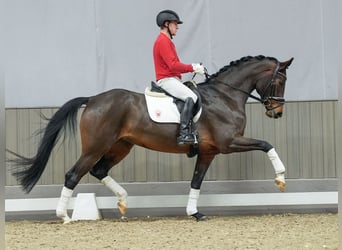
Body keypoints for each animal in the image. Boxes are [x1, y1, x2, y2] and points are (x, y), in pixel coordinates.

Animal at [10, 55, 294, 223]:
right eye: (279, 81)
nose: (277, 112)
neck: (224, 96)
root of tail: (92, 100)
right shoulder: (229, 143)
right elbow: (267, 144)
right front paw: (281, 177)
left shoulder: (209, 151)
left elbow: (196, 182)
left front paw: (195, 213)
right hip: (95, 146)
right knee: (73, 174)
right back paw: (64, 216)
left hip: (121, 146)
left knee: (99, 170)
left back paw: (123, 201)